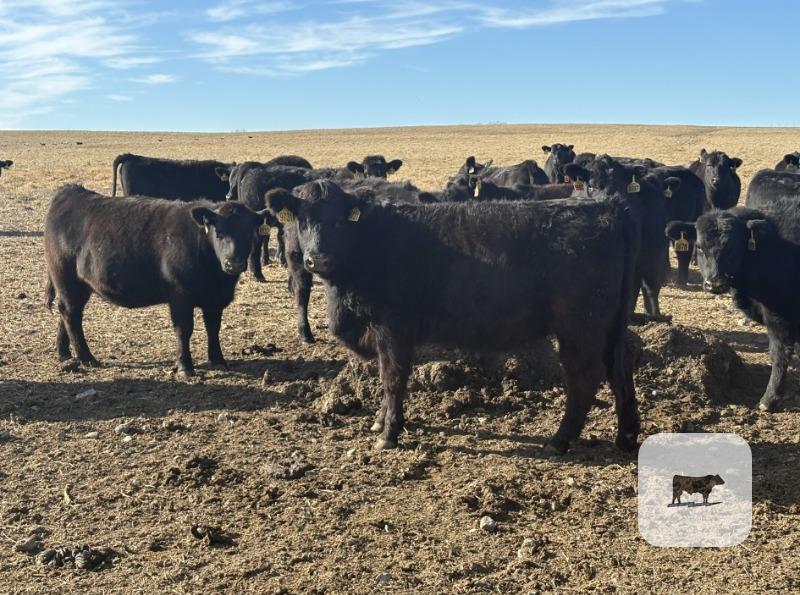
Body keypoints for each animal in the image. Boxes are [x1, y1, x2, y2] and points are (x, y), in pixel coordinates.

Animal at [44, 185, 271, 376]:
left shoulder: (214, 300)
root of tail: (70, 192)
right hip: (67, 279)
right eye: (219, 232)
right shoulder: (180, 296)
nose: (234, 263)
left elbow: (213, 328)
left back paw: (65, 354)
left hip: (79, 285)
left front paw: (218, 360)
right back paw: (86, 358)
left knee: (67, 313)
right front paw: (185, 366)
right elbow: (184, 330)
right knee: (71, 313)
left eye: (248, 232)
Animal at [265, 180, 641, 452]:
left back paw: (559, 440)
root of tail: (604, 207)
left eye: (339, 220)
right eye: (303, 219)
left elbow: (392, 379)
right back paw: (626, 438)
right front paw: (382, 421)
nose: (318, 258)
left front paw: (388, 434)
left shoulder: (392, 331)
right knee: (619, 371)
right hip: (610, 326)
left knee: (585, 376)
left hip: (580, 326)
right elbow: (387, 380)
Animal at [666, 201, 800, 411]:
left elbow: (779, 353)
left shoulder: (778, 315)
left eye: (732, 249)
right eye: (699, 247)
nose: (714, 284)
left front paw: (769, 399)